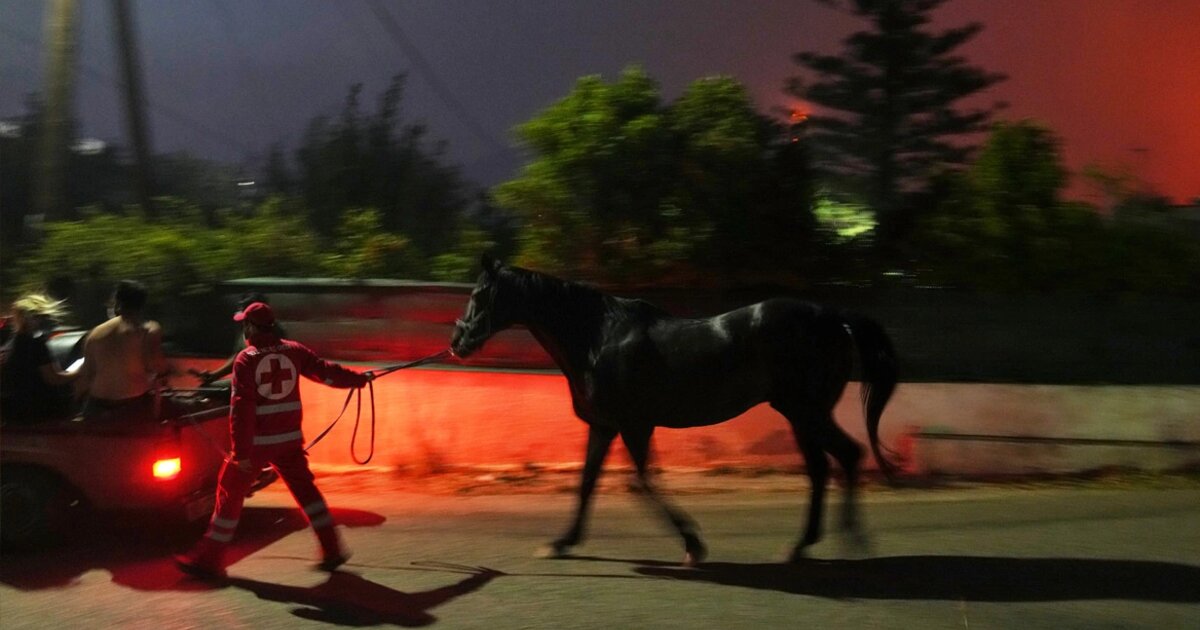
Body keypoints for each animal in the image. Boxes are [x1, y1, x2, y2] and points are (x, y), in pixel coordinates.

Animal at [450, 254, 899, 565]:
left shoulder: (635, 425)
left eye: (478, 295)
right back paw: (803, 547)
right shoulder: (605, 426)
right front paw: (562, 543)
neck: (598, 338)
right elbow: (588, 484)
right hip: (801, 415)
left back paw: (850, 542)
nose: (458, 342)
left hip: (806, 412)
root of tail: (834, 317)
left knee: (846, 456)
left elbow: (642, 483)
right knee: (824, 468)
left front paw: (693, 545)